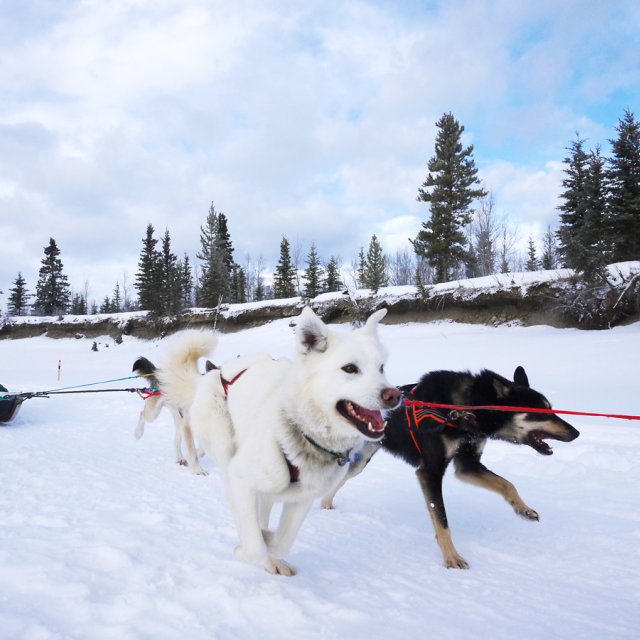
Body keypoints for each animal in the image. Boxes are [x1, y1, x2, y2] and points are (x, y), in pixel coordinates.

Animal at [159, 304, 400, 576]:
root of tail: (211, 375)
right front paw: (247, 548)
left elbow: (281, 541)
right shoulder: (242, 478)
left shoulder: (303, 499)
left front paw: (270, 542)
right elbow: (254, 545)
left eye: (381, 367)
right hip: (229, 455)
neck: (303, 432)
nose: (394, 395)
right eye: (350, 368)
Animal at [324, 368, 580, 568]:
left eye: (551, 408)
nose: (576, 432)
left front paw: (523, 509)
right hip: (355, 460)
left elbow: (507, 484)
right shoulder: (430, 472)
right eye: (542, 412)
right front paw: (451, 558)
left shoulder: (467, 465)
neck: (464, 409)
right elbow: (442, 520)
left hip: (360, 461)